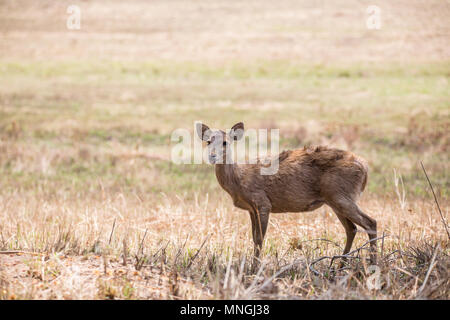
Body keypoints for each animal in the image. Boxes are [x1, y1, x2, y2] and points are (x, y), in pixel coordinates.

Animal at [197, 121, 376, 266]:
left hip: (341, 195)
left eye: (225, 142)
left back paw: (373, 263)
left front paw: (255, 269)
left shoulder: (263, 203)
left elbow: (260, 239)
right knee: (352, 228)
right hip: (335, 200)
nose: (212, 156)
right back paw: (341, 264)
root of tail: (365, 168)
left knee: (370, 222)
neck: (239, 180)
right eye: (208, 141)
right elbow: (254, 238)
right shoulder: (251, 209)